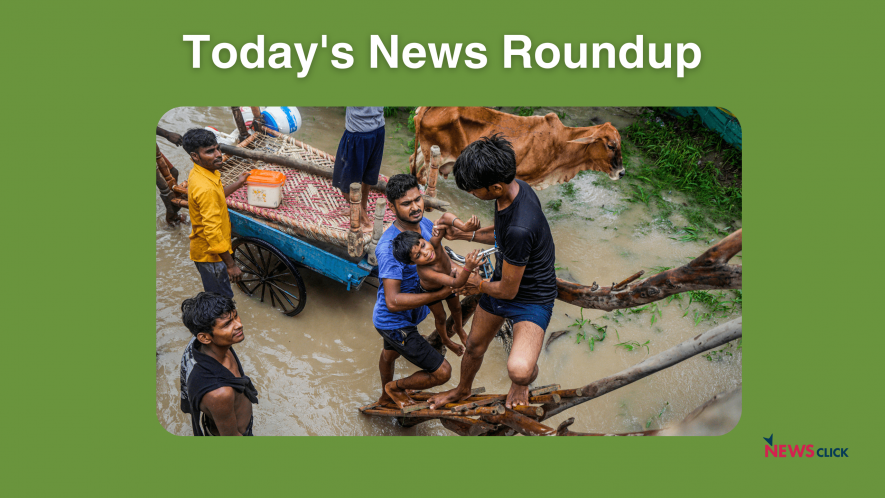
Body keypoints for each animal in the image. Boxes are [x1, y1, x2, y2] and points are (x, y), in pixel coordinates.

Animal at [410, 107, 624, 189]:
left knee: (413, 161)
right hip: (436, 156)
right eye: (611, 145)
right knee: (422, 178)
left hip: (426, 150)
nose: (622, 172)